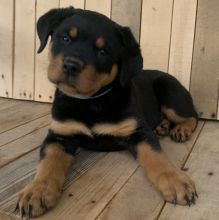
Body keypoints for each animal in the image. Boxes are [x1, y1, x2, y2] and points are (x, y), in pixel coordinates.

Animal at [16, 7, 198, 218]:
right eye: (65, 38)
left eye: (102, 52)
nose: (71, 65)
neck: (91, 100)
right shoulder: (60, 134)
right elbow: (49, 162)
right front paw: (37, 191)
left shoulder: (138, 131)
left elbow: (157, 158)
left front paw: (176, 181)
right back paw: (163, 126)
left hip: (168, 89)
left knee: (192, 115)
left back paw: (180, 129)